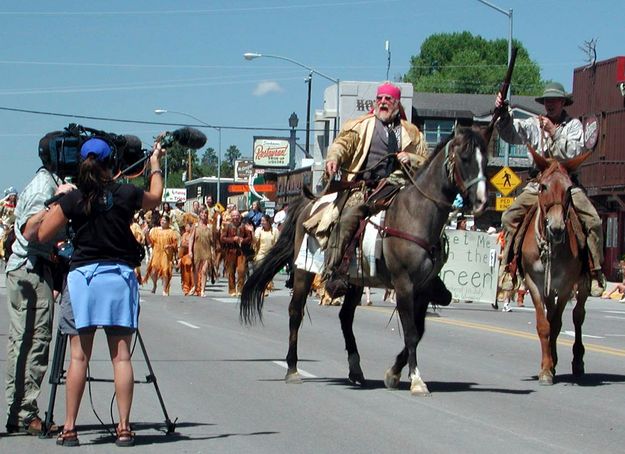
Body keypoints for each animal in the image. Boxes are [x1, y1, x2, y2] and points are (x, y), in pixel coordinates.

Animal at [241, 127, 490, 394]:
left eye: (485, 161)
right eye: (465, 158)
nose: (482, 202)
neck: (416, 214)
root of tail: (309, 204)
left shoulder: (423, 289)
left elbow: (418, 330)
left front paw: (393, 373)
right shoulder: (404, 284)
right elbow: (411, 333)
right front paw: (416, 380)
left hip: (354, 281)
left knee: (345, 318)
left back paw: (355, 369)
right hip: (303, 271)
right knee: (295, 312)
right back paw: (293, 369)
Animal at [520, 147, 588, 384]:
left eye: (569, 188)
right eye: (543, 186)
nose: (557, 228)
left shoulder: (567, 285)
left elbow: (557, 324)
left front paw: (549, 366)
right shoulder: (534, 282)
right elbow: (544, 325)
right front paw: (546, 368)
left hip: (583, 284)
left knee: (578, 315)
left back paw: (577, 361)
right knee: (551, 314)